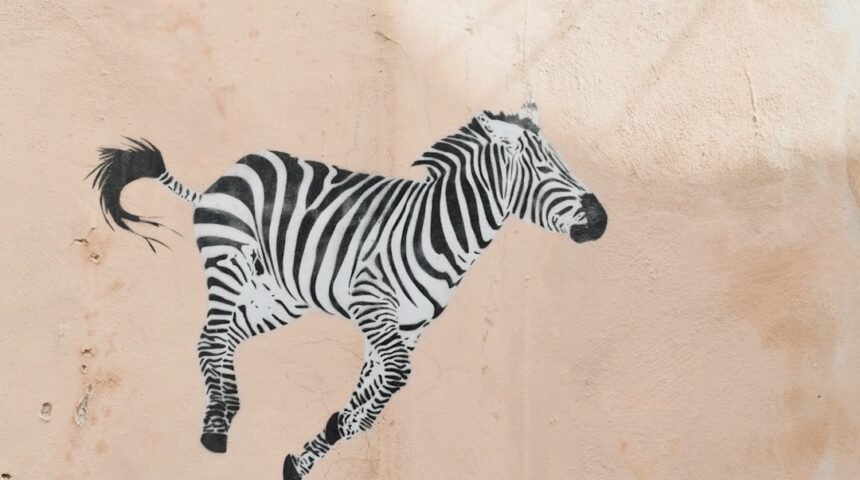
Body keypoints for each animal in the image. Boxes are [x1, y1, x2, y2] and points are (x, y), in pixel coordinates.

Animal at [87, 100, 607, 479]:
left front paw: (317, 446)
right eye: (545, 171)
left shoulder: (412, 325)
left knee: (220, 338)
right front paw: (337, 428)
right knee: (213, 337)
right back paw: (215, 429)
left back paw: (227, 410)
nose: (601, 220)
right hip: (227, 262)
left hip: (279, 297)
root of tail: (227, 172)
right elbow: (396, 377)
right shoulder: (371, 304)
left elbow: (374, 388)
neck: (440, 231)